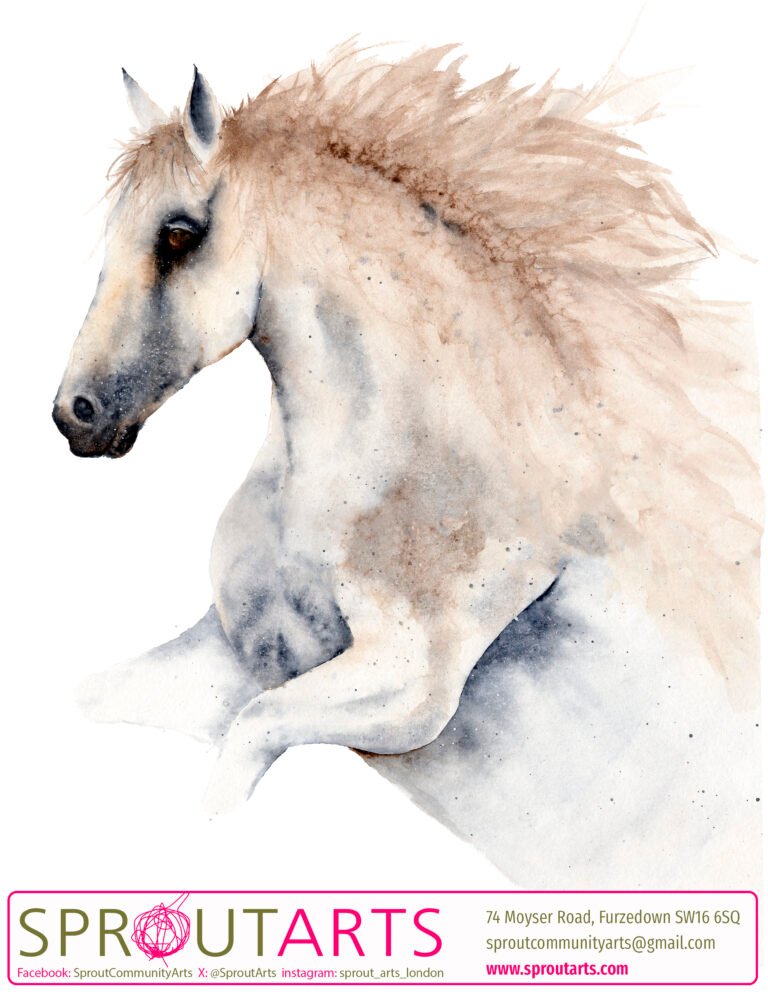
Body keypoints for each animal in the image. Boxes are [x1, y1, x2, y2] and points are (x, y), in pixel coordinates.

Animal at [53, 44, 761, 885]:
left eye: (177, 235)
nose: (74, 414)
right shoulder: (231, 654)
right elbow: (92, 697)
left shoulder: (407, 686)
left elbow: (241, 748)